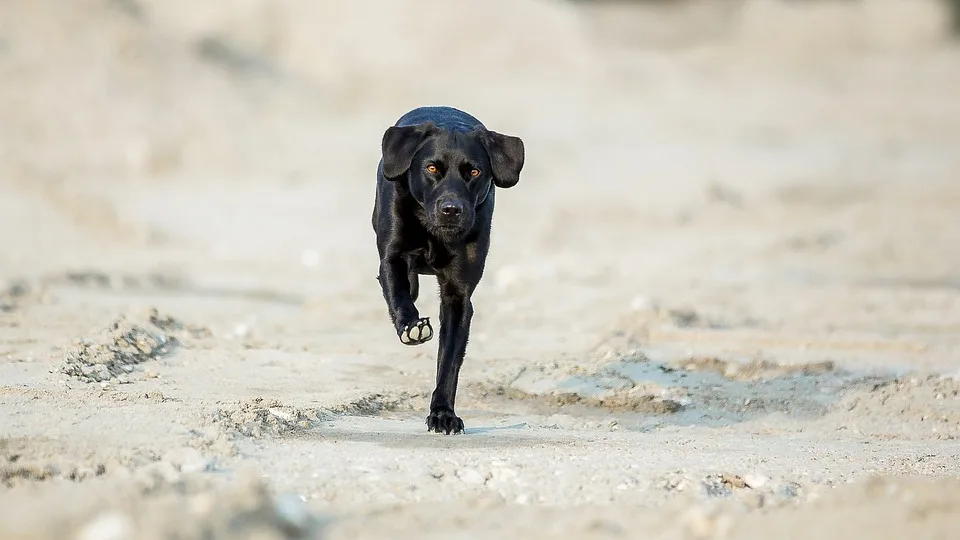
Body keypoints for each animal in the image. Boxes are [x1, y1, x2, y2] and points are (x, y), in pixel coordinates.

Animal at [374, 104, 524, 434]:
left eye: (474, 172)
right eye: (431, 169)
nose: (451, 210)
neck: (434, 233)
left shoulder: (458, 296)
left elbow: (449, 362)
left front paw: (443, 414)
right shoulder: (391, 256)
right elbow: (398, 291)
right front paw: (412, 326)